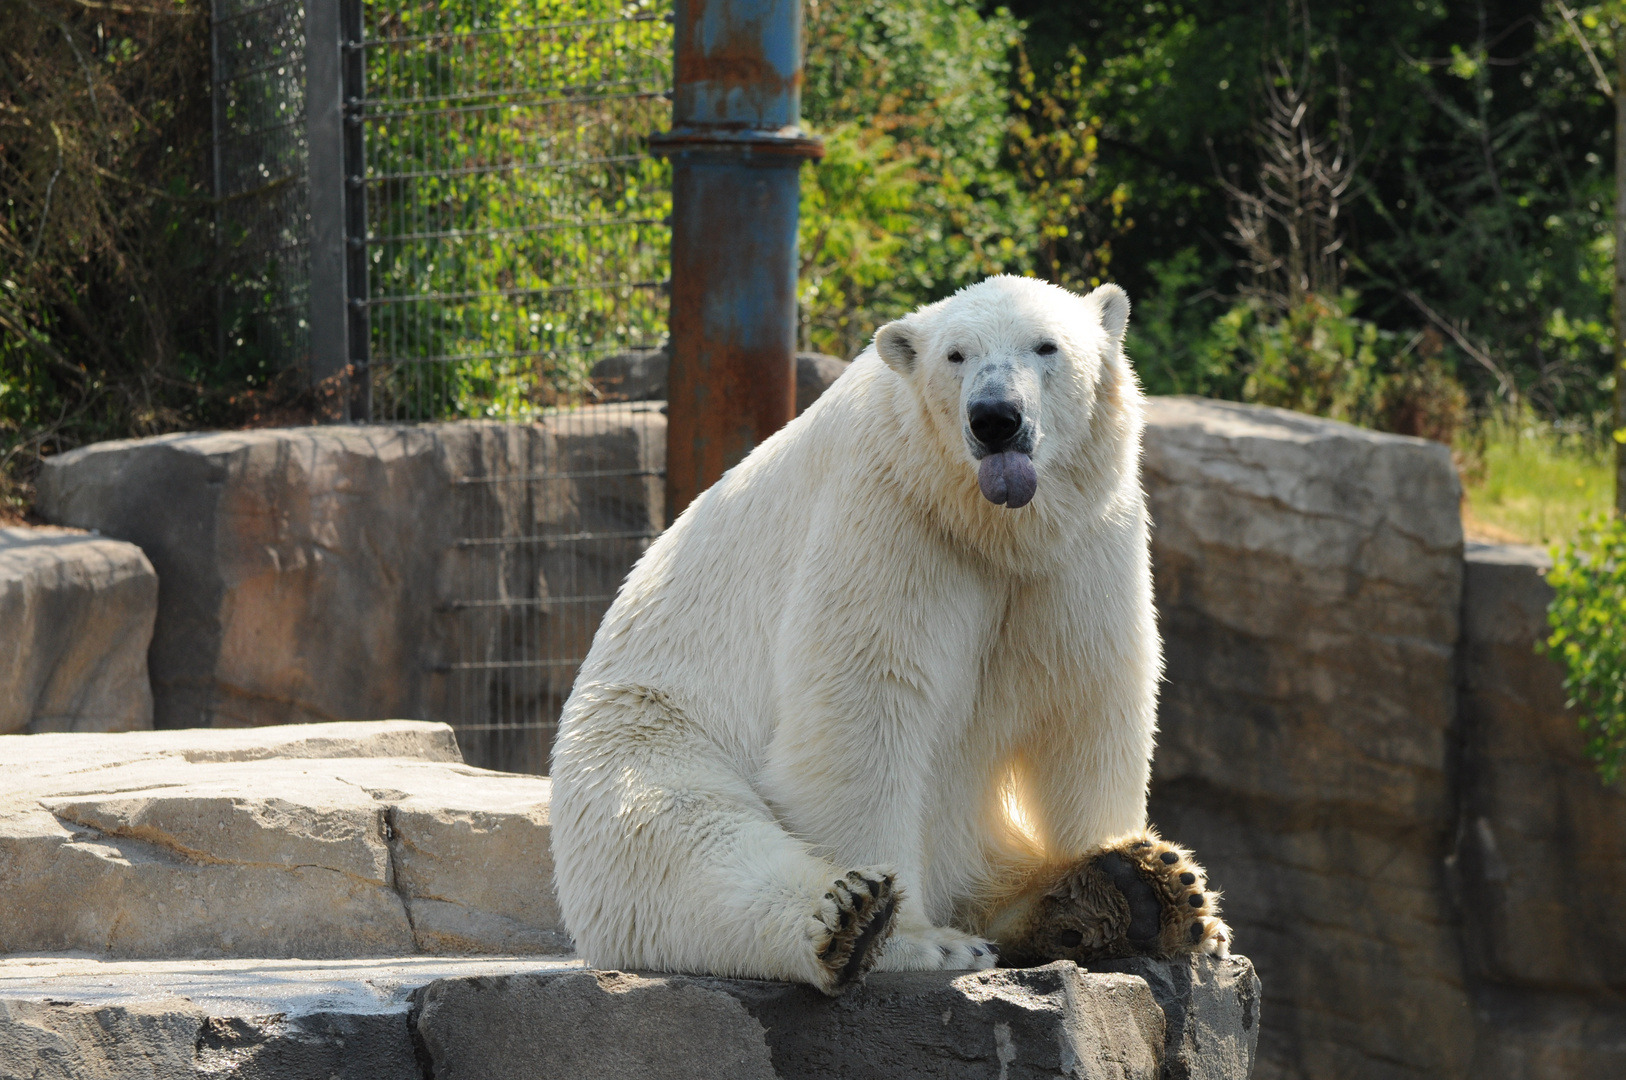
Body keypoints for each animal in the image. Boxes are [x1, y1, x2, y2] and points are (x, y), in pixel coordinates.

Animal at [552, 274, 1222, 988]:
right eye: (956, 355)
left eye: (1047, 346)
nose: (994, 418)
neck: (990, 523)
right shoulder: (891, 513)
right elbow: (865, 704)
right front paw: (915, 939)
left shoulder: (1083, 542)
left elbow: (1086, 695)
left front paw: (1158, 889)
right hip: (646, 730)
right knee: (685, 836)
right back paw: (852, 920)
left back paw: (1135, 893)